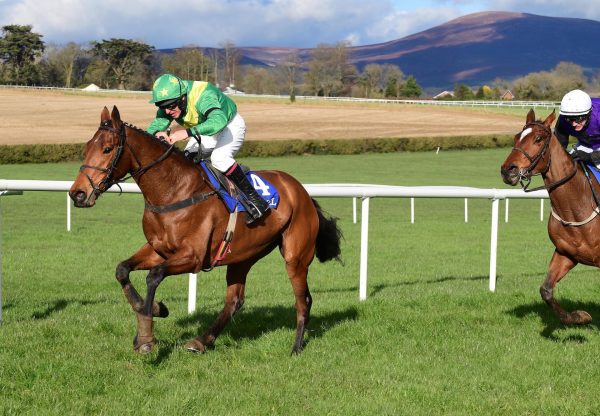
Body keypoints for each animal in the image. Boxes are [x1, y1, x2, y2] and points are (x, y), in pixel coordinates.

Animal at [69, 106, 342, 354]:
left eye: (107, 149)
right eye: (86, 148)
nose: (77, 193)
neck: (174, 189)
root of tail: (302, 191)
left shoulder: (194, 257)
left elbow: (153, 276)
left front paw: (146, 335)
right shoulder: (159, 249)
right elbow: (122, 270)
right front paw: (153, 310)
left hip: (296, 257)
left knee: (303, 300)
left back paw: (296, 347)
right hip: (243, 255)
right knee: (235, 300)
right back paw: (202, 340)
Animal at [502, 109, 600, 326]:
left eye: (538, 139)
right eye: (516, 137)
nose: (507, 170)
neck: (576, 206)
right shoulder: (566, 253)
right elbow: (546, 290)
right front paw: (579, 316)